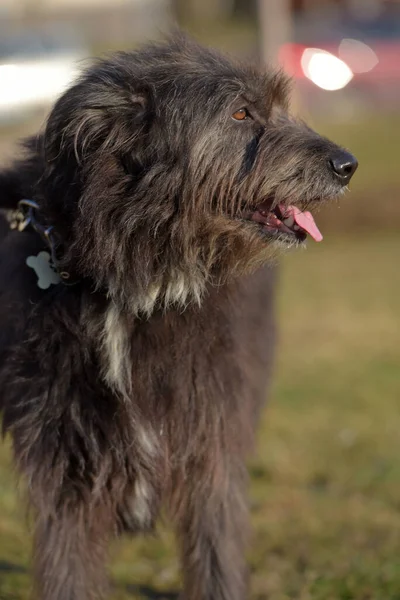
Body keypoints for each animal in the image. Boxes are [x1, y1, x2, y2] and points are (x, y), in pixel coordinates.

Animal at [0, 34, 358, 600]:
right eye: (240, 112)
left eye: (277, 106)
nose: (348, 165)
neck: (137, 284)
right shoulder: (59, 453)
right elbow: (68, 564)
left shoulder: (211, 432)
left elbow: (215, 548)